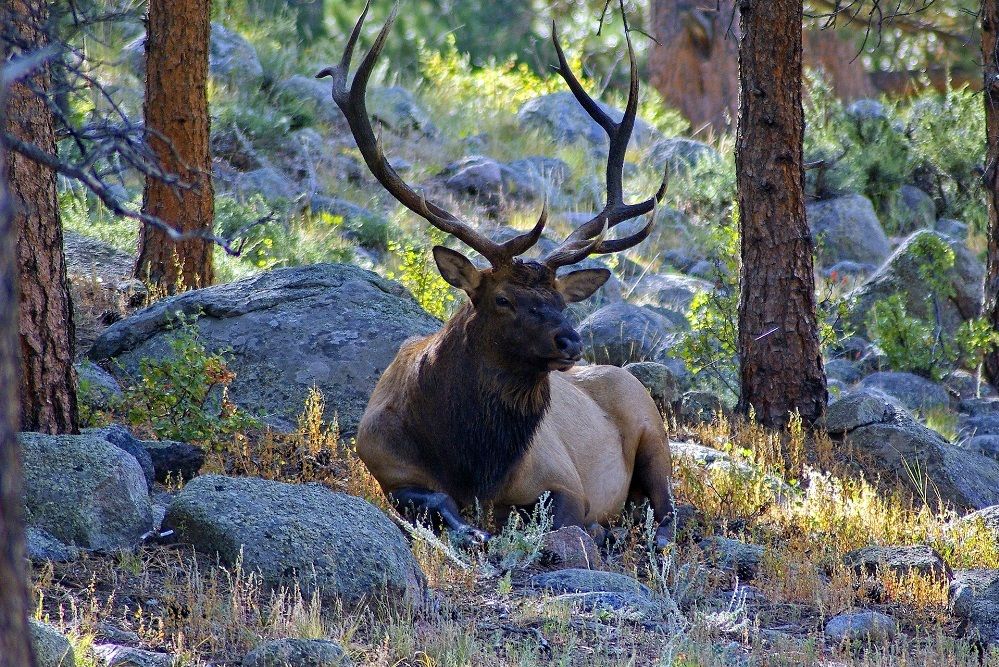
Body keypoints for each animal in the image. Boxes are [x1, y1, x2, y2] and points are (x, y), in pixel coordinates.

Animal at [320, 1, 676, 548]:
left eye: (562, 300)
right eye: (503, 300)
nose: (571, 341)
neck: (473, 464)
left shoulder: (564, 479)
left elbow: (561, 516)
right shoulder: (385, 465)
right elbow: (434, 502)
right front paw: (473, 531)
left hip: (652, 428)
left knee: (669, 508)